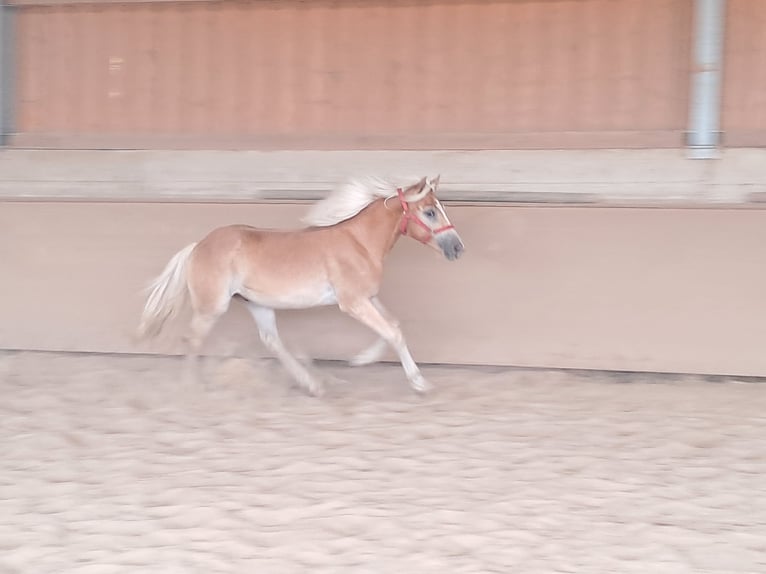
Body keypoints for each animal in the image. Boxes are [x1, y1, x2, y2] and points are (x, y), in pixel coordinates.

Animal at [135, 176, 464, 398]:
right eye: (430, 212)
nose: (458, 248)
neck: (359, 242)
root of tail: (197, 247)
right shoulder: (353, 302)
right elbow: (393, 332)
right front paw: (419, 382)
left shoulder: (368, 297)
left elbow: (393, 326)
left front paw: (360, 359)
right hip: (212, 307)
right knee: (192, 339)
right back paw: (189, 388)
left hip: (257, 304)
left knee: (271, 341)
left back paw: (312, 384)